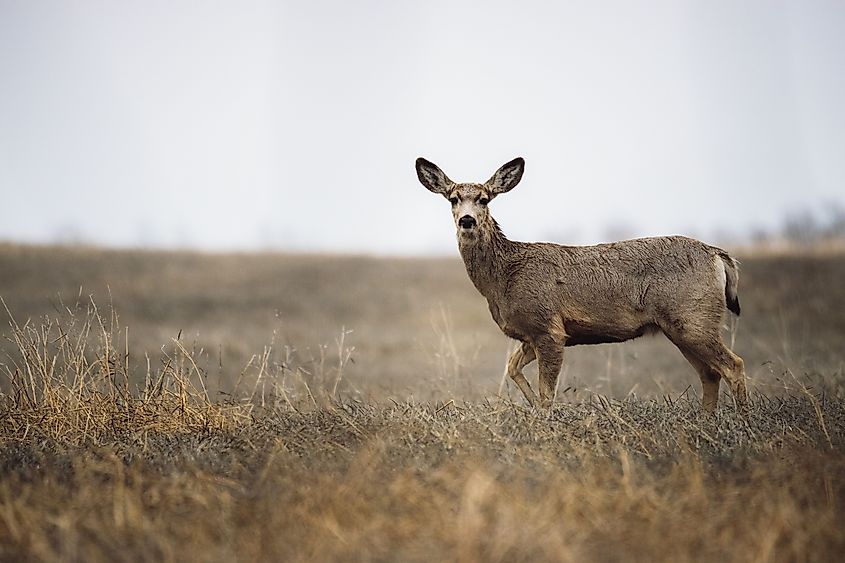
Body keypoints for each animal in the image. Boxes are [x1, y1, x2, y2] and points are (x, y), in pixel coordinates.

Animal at [415, 156, 748, 414]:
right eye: (453, 199)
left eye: (484, 199)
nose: (467, 220)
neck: (504, 277)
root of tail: (718, 255)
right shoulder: (531, 335)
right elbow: (512, 368)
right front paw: (532, 409)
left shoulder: (549, 327)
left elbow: (546, 393)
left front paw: (544, 421)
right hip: (681, 326)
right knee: (710, 373)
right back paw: (707, 421)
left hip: (693, 318)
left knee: (733, 365)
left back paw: (740, 423)